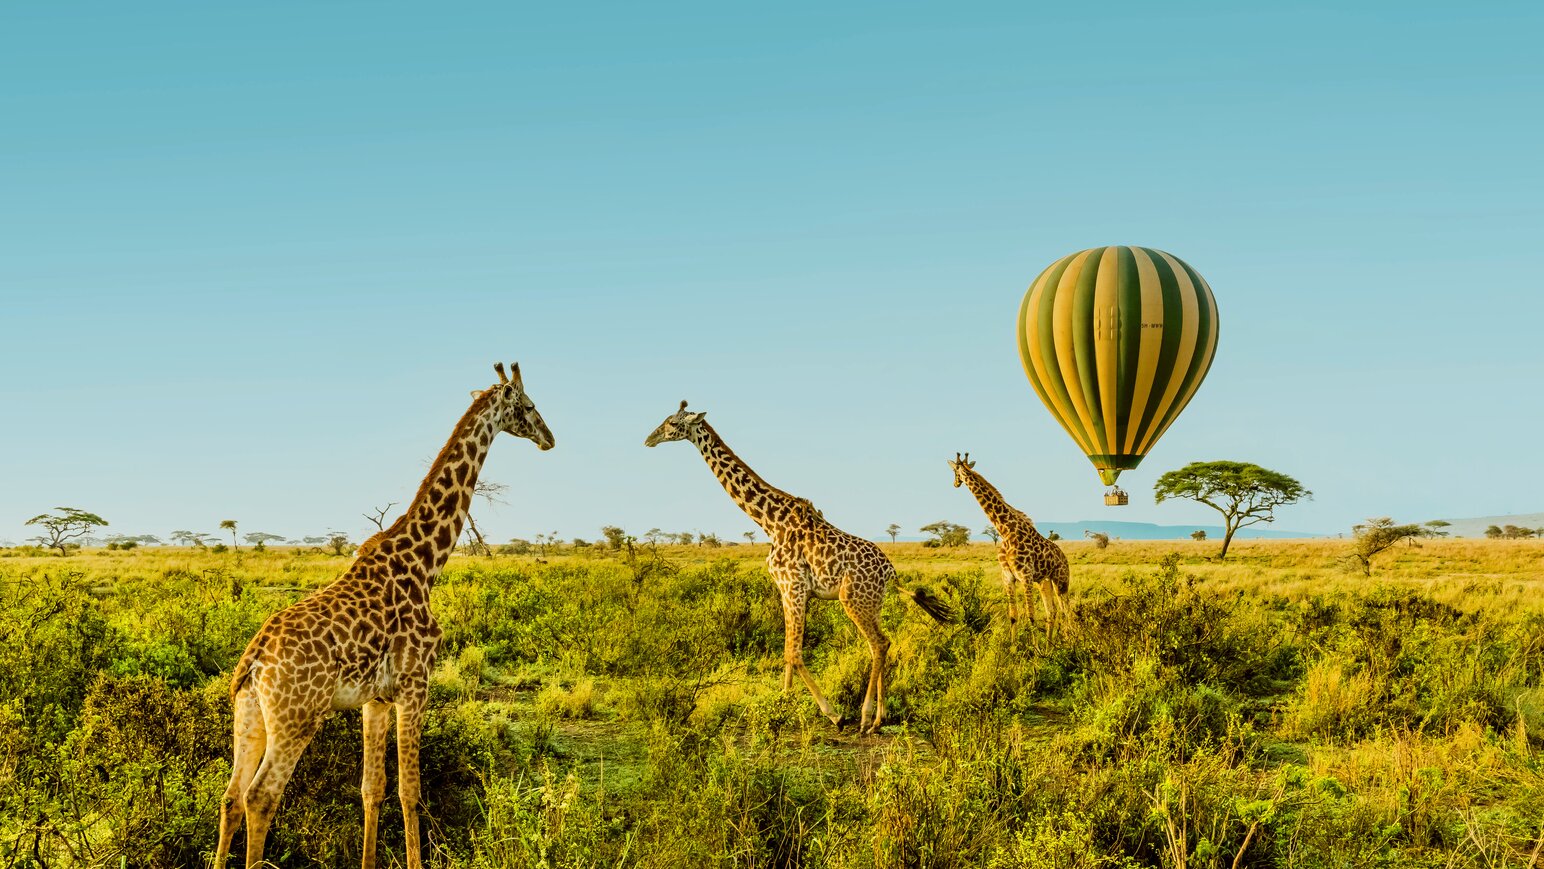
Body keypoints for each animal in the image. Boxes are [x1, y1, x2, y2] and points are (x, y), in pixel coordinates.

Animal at [214, 363, 554, 869]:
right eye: (529, 406)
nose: (550, 438)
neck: (426, 563)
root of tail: (254, 662)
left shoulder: (374, 698)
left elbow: (371, 789)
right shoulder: (416, 684)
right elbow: (411, 791)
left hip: (249, 714)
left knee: (231, 797)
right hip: (297, 718)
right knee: (260, 798)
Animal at [645, 401, 953, 734]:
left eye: (672, 423)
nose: (649, 439)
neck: (769, 521)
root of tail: (891, 573)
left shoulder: (793, 585)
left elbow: (793, 652)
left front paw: (832, 714)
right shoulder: (786, 589)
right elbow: (787, 651)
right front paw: (782, 702)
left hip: (852, 599)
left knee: (879, 643)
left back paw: (865, 717)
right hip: (873, 602)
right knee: (882, 643)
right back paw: (879, 718)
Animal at [949, 453, 1070, 640]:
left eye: (954, 471)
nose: (955, 484)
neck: (1005, 530)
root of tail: (1065, 559)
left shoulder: (1025, 576)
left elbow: (1031, 615)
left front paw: (1034, 649)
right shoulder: (1008, 576)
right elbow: (1013, 616)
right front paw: (1013, 647)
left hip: (1061, 581)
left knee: (1067, 611)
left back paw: (1071, 641)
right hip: (1044, 582)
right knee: (1052, 612)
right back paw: (1051, 645)